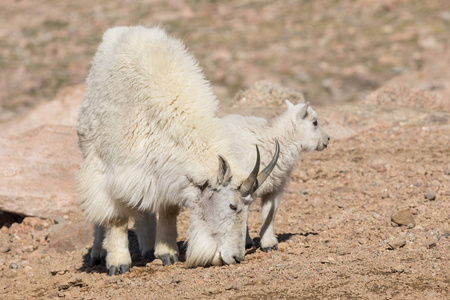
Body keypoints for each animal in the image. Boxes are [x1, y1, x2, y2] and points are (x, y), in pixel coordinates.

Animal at [76, 27, 280, 276]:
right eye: (232, 205)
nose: (236, 256)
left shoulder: (166, 173)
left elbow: (167, 210)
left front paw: (167, 253)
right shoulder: (113, 173)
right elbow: (116, 218)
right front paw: (118, 263)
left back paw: (147, 248)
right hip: (89, 152)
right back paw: (98, 252)